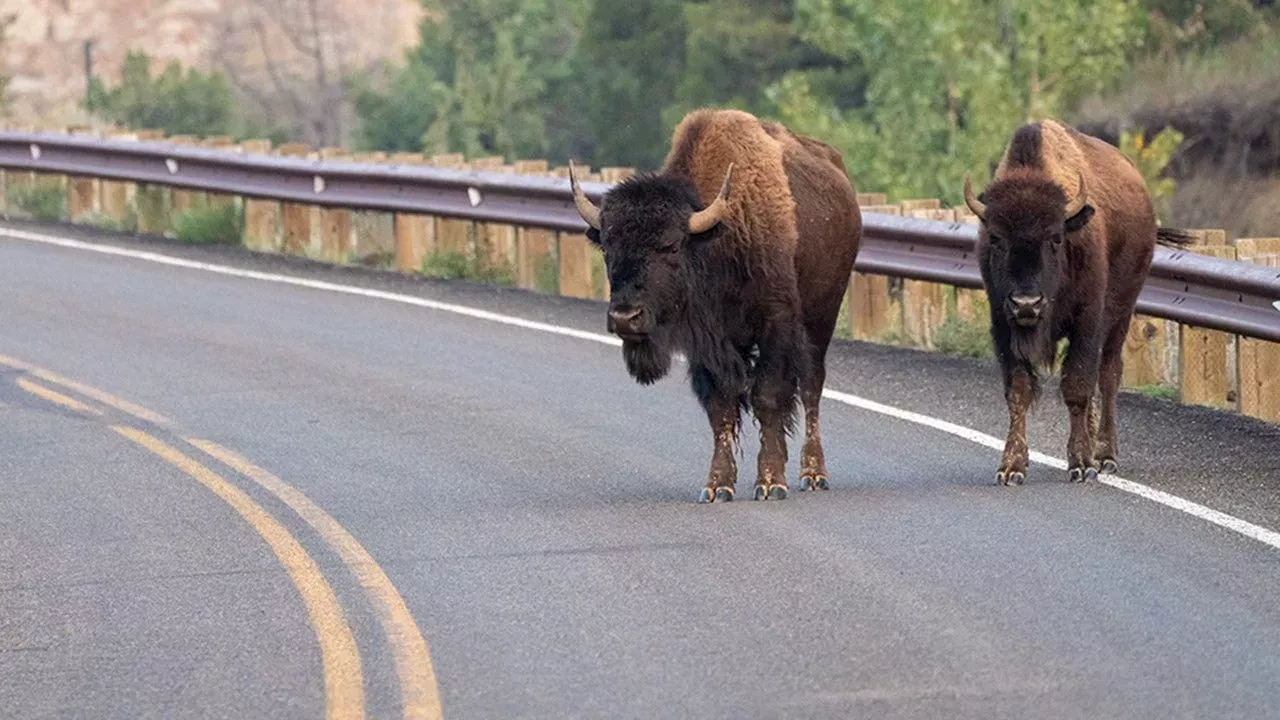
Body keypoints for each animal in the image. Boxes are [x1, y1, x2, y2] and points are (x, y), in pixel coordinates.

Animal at [569, 109, 862, 502]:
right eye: (607, 248)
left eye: (670, 246)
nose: (625, 317)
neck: (715, 238)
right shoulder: (705, 342)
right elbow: (720, 407)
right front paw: (717, 486)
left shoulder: (776, 323)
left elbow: (768, 396)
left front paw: (771, 483)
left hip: (822, 318)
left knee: (811, 386)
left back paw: (813, 474)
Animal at [963, 119, 1189, 485]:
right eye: (996, 238)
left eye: (1055, 238)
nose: (1027, 303)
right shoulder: (1003, 326)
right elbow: (1019, 390)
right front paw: (1011, 468)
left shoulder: (1087, 322)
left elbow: (1077, 386)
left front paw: (1081, 464)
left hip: (1121, 315)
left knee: (1109, 375)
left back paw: (1105, 455)